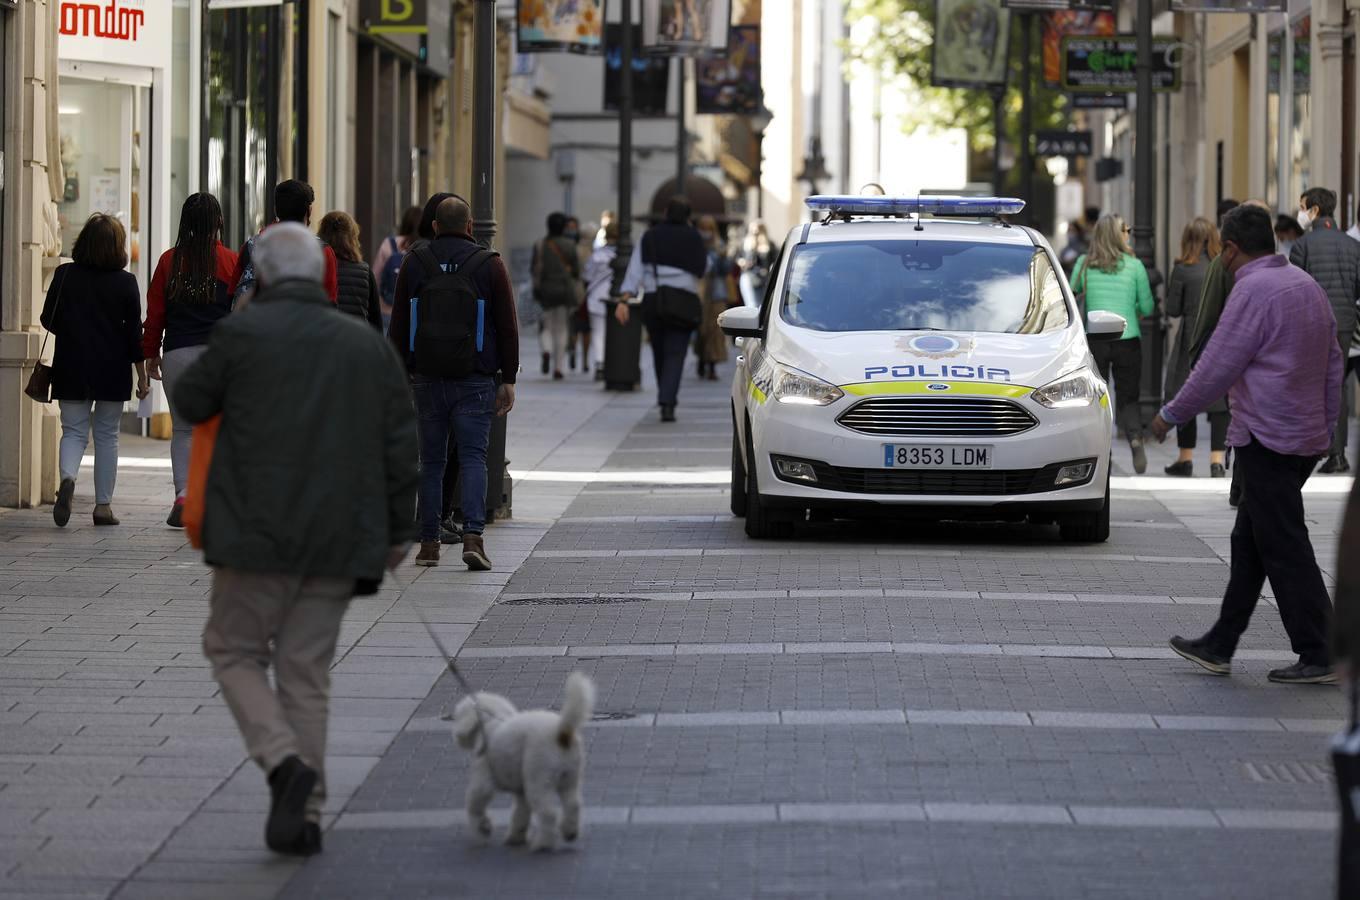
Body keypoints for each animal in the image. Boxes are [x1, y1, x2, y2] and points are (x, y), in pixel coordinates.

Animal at [451, 674, 595, 859]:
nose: (457, 738)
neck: (491, 720)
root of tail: (562, 733)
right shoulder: (521, 792)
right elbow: (521, 812)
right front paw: (516, 837)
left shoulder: (483, 777)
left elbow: (475, 803)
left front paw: (483, 827)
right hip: (570, 777)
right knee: (573, 804)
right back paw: (569, 832)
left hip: (539, 778)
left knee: (548, 813)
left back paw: (543, 844)